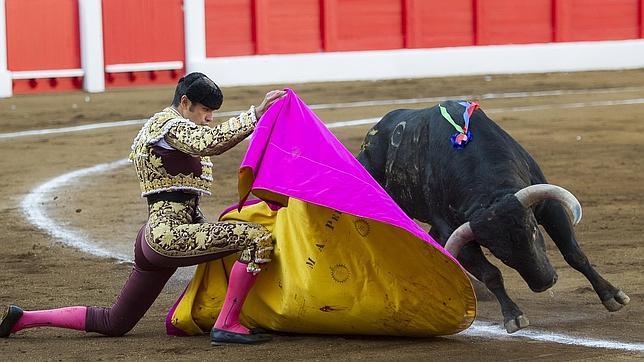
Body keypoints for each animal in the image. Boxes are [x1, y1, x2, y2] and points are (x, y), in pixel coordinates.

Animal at [354, 100, 632, 332]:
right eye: (499, 252)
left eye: (534, 230)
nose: (545, 283)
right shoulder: (457, 233)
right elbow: (491, 274)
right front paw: (514, 317)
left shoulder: (546, 206)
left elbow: (574, 253)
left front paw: (612, 296)